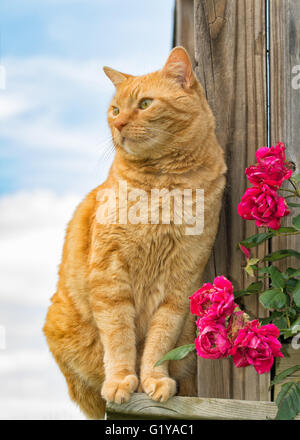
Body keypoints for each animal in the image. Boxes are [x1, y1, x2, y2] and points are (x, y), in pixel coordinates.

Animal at [43, 46, 226, 418]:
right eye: (114, 110)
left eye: (145, 104)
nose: (118, 124)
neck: (165, 184)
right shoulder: (110, 275)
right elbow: (119, 335)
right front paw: (121, 380)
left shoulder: (180, 282)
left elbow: (160, 340)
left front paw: (153, 379)